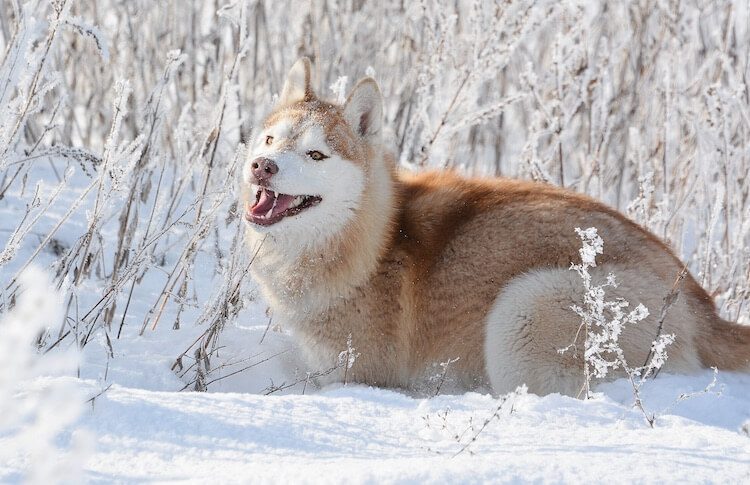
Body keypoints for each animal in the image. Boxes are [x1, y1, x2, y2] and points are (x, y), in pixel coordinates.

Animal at [244, 58, 748, 396]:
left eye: (316, 155)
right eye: (269, 139)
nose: (262, 166)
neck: (370, 240)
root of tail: (701, 306)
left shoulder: (358, 375)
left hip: (521, 311)